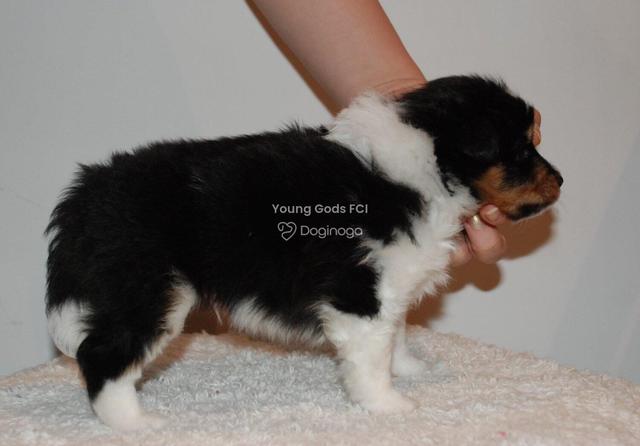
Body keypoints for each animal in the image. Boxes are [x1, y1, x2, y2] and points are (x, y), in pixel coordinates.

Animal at [45, 76, 562, 430]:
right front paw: (388, 406)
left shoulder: (389, 285)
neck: (429, 166)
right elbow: (370, 359)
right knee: (104, 356)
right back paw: (136, 424)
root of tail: (85, 194)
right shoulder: (360, 295)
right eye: (521, 151)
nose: (561, 182)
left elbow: (394, 337)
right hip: (150, 290)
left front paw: (411, 369)